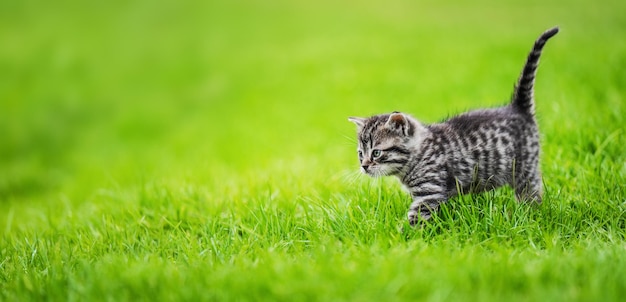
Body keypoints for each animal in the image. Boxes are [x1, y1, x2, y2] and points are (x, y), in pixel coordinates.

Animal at [348, 27, 560, 225]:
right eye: (360, 153)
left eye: (376, 152)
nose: (364, 165)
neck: (418, 154)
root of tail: (517, 108)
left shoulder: (430, 192)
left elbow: (416, 218)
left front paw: (405, 235)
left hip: (524, 167)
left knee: (531, 193)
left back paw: (530, 215)